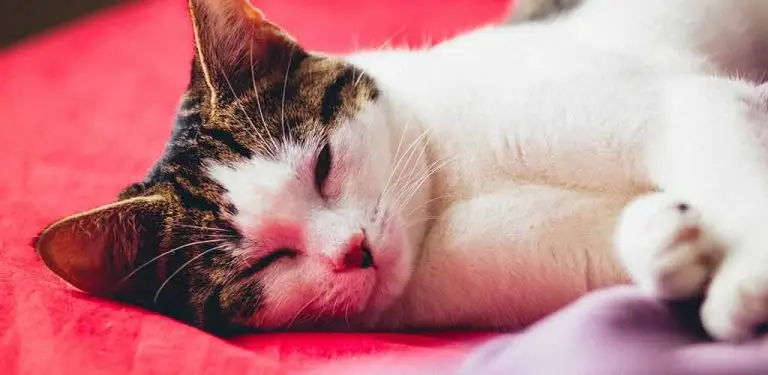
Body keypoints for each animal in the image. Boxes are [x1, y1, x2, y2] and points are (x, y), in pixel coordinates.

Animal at [33, 0, 768, 342]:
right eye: (262, 262)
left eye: (323, 164)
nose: (353, 250)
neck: (445, 194)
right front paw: (668, 244)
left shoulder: (670, 102)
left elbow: (723, 150)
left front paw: (744, 281)